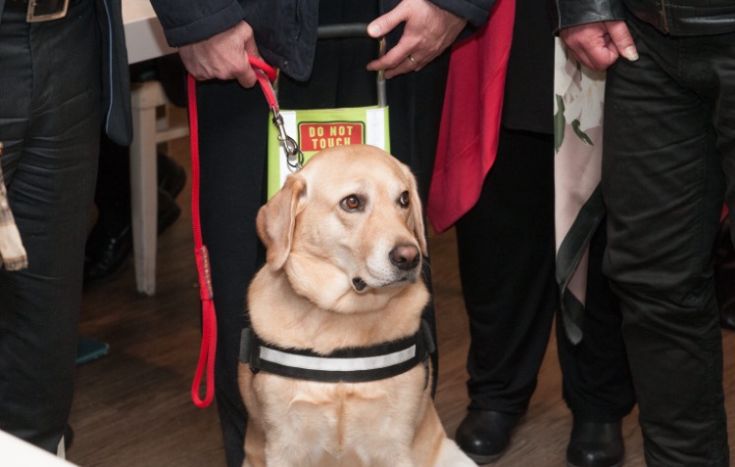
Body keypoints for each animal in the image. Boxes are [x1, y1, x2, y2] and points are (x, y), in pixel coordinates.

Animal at [239, 144, 474, 466]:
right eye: (352, 202)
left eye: (404, 199)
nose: (409, 257)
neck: (342, 316)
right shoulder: (284, 447)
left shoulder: (394, 446)